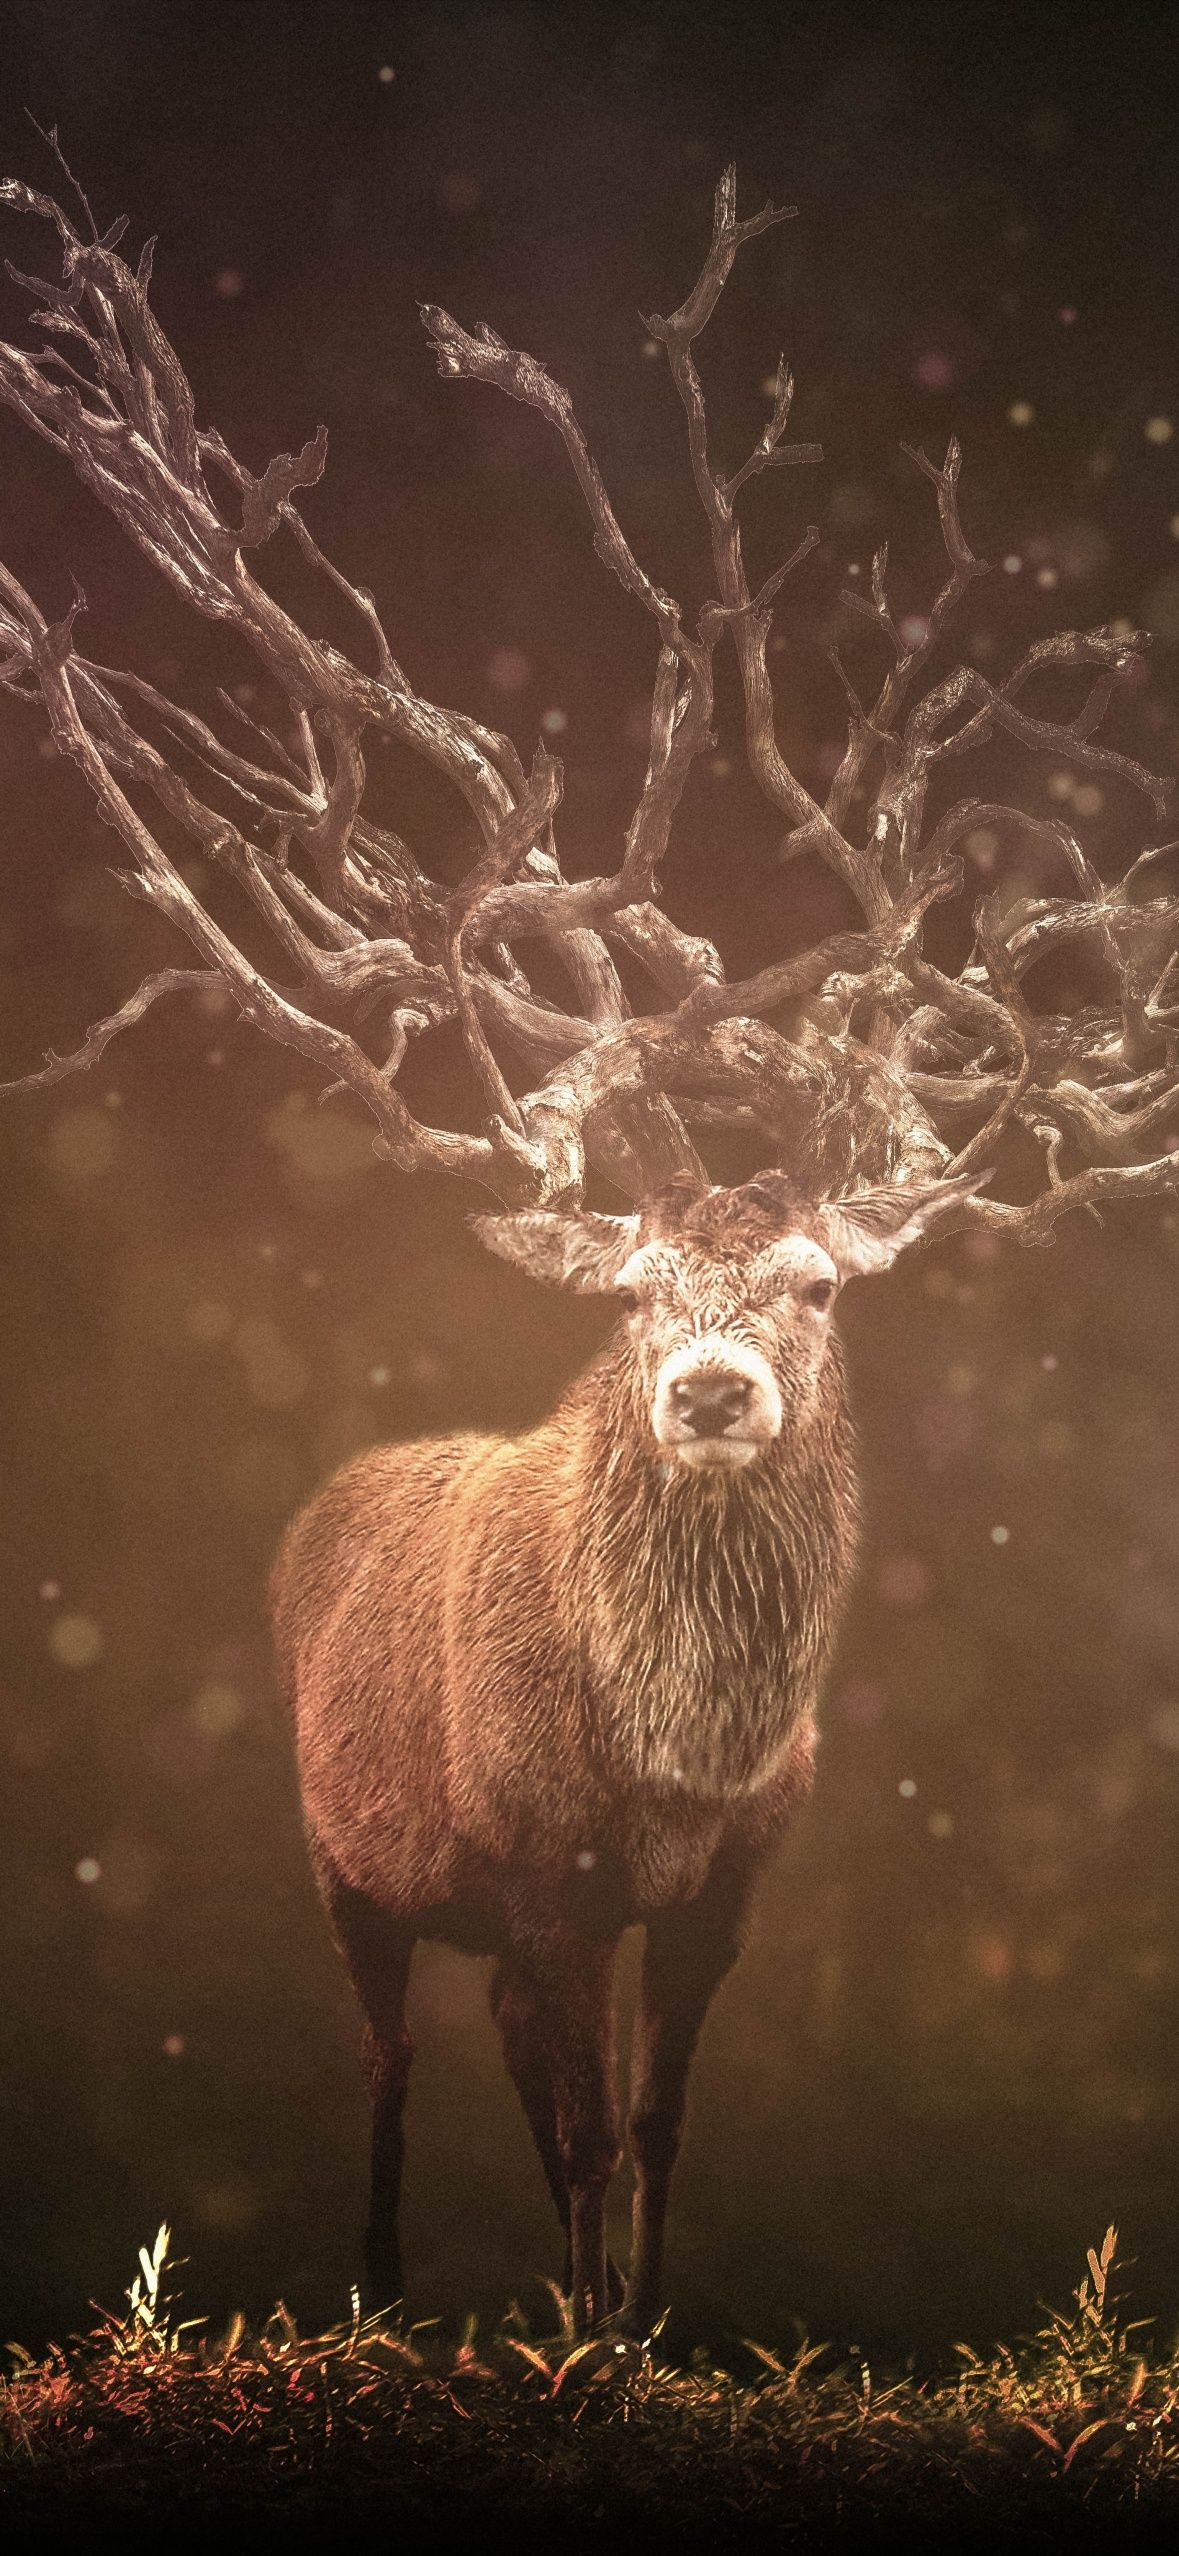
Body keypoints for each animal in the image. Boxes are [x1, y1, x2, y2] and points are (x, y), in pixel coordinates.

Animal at [0, 155, 1174, 2330]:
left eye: (813, 1283)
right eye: (632, 1290)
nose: (707, 1388)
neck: (675, 1760)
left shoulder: (717, 1891)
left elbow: (649, 2120)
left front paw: (638, 2322)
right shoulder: (530, 1868)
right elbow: (559, 2130)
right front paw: (568, 2342)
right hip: (345, 1858)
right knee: (389, 2053)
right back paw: (381, 2290)